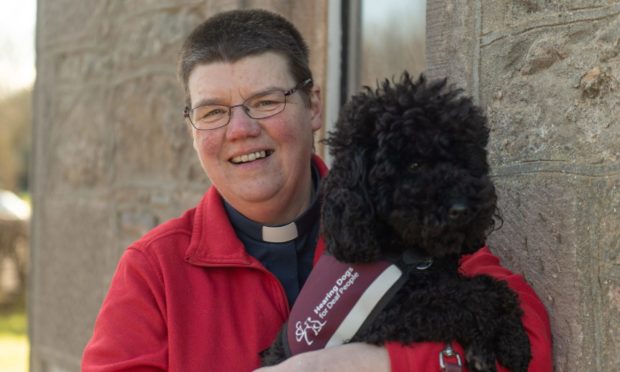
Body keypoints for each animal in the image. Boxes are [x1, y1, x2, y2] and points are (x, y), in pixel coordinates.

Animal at [262, 74, 532, 370]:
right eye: (414, 165)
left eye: (463, 159)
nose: (462, 209)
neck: (406, 252)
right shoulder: (386, 316)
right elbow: (469, 297)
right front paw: (507, 341)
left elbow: (494, 285)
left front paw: (509, 339)